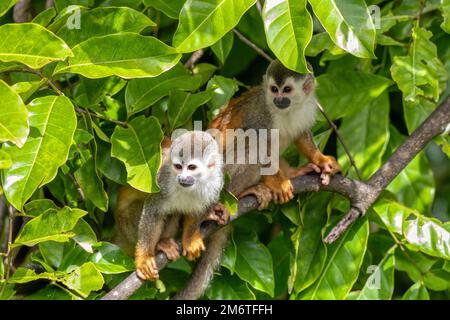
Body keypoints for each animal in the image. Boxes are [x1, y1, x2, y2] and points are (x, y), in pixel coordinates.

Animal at [112, 131, 229, 280]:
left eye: (191, 167)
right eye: (178, 167)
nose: (182, 178)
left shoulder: (217, 182)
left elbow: (198, 210)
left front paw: (190, 239)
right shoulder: (162, 180)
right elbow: (153, 211)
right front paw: (144, 259)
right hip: (127, 225)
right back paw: (160, 245)